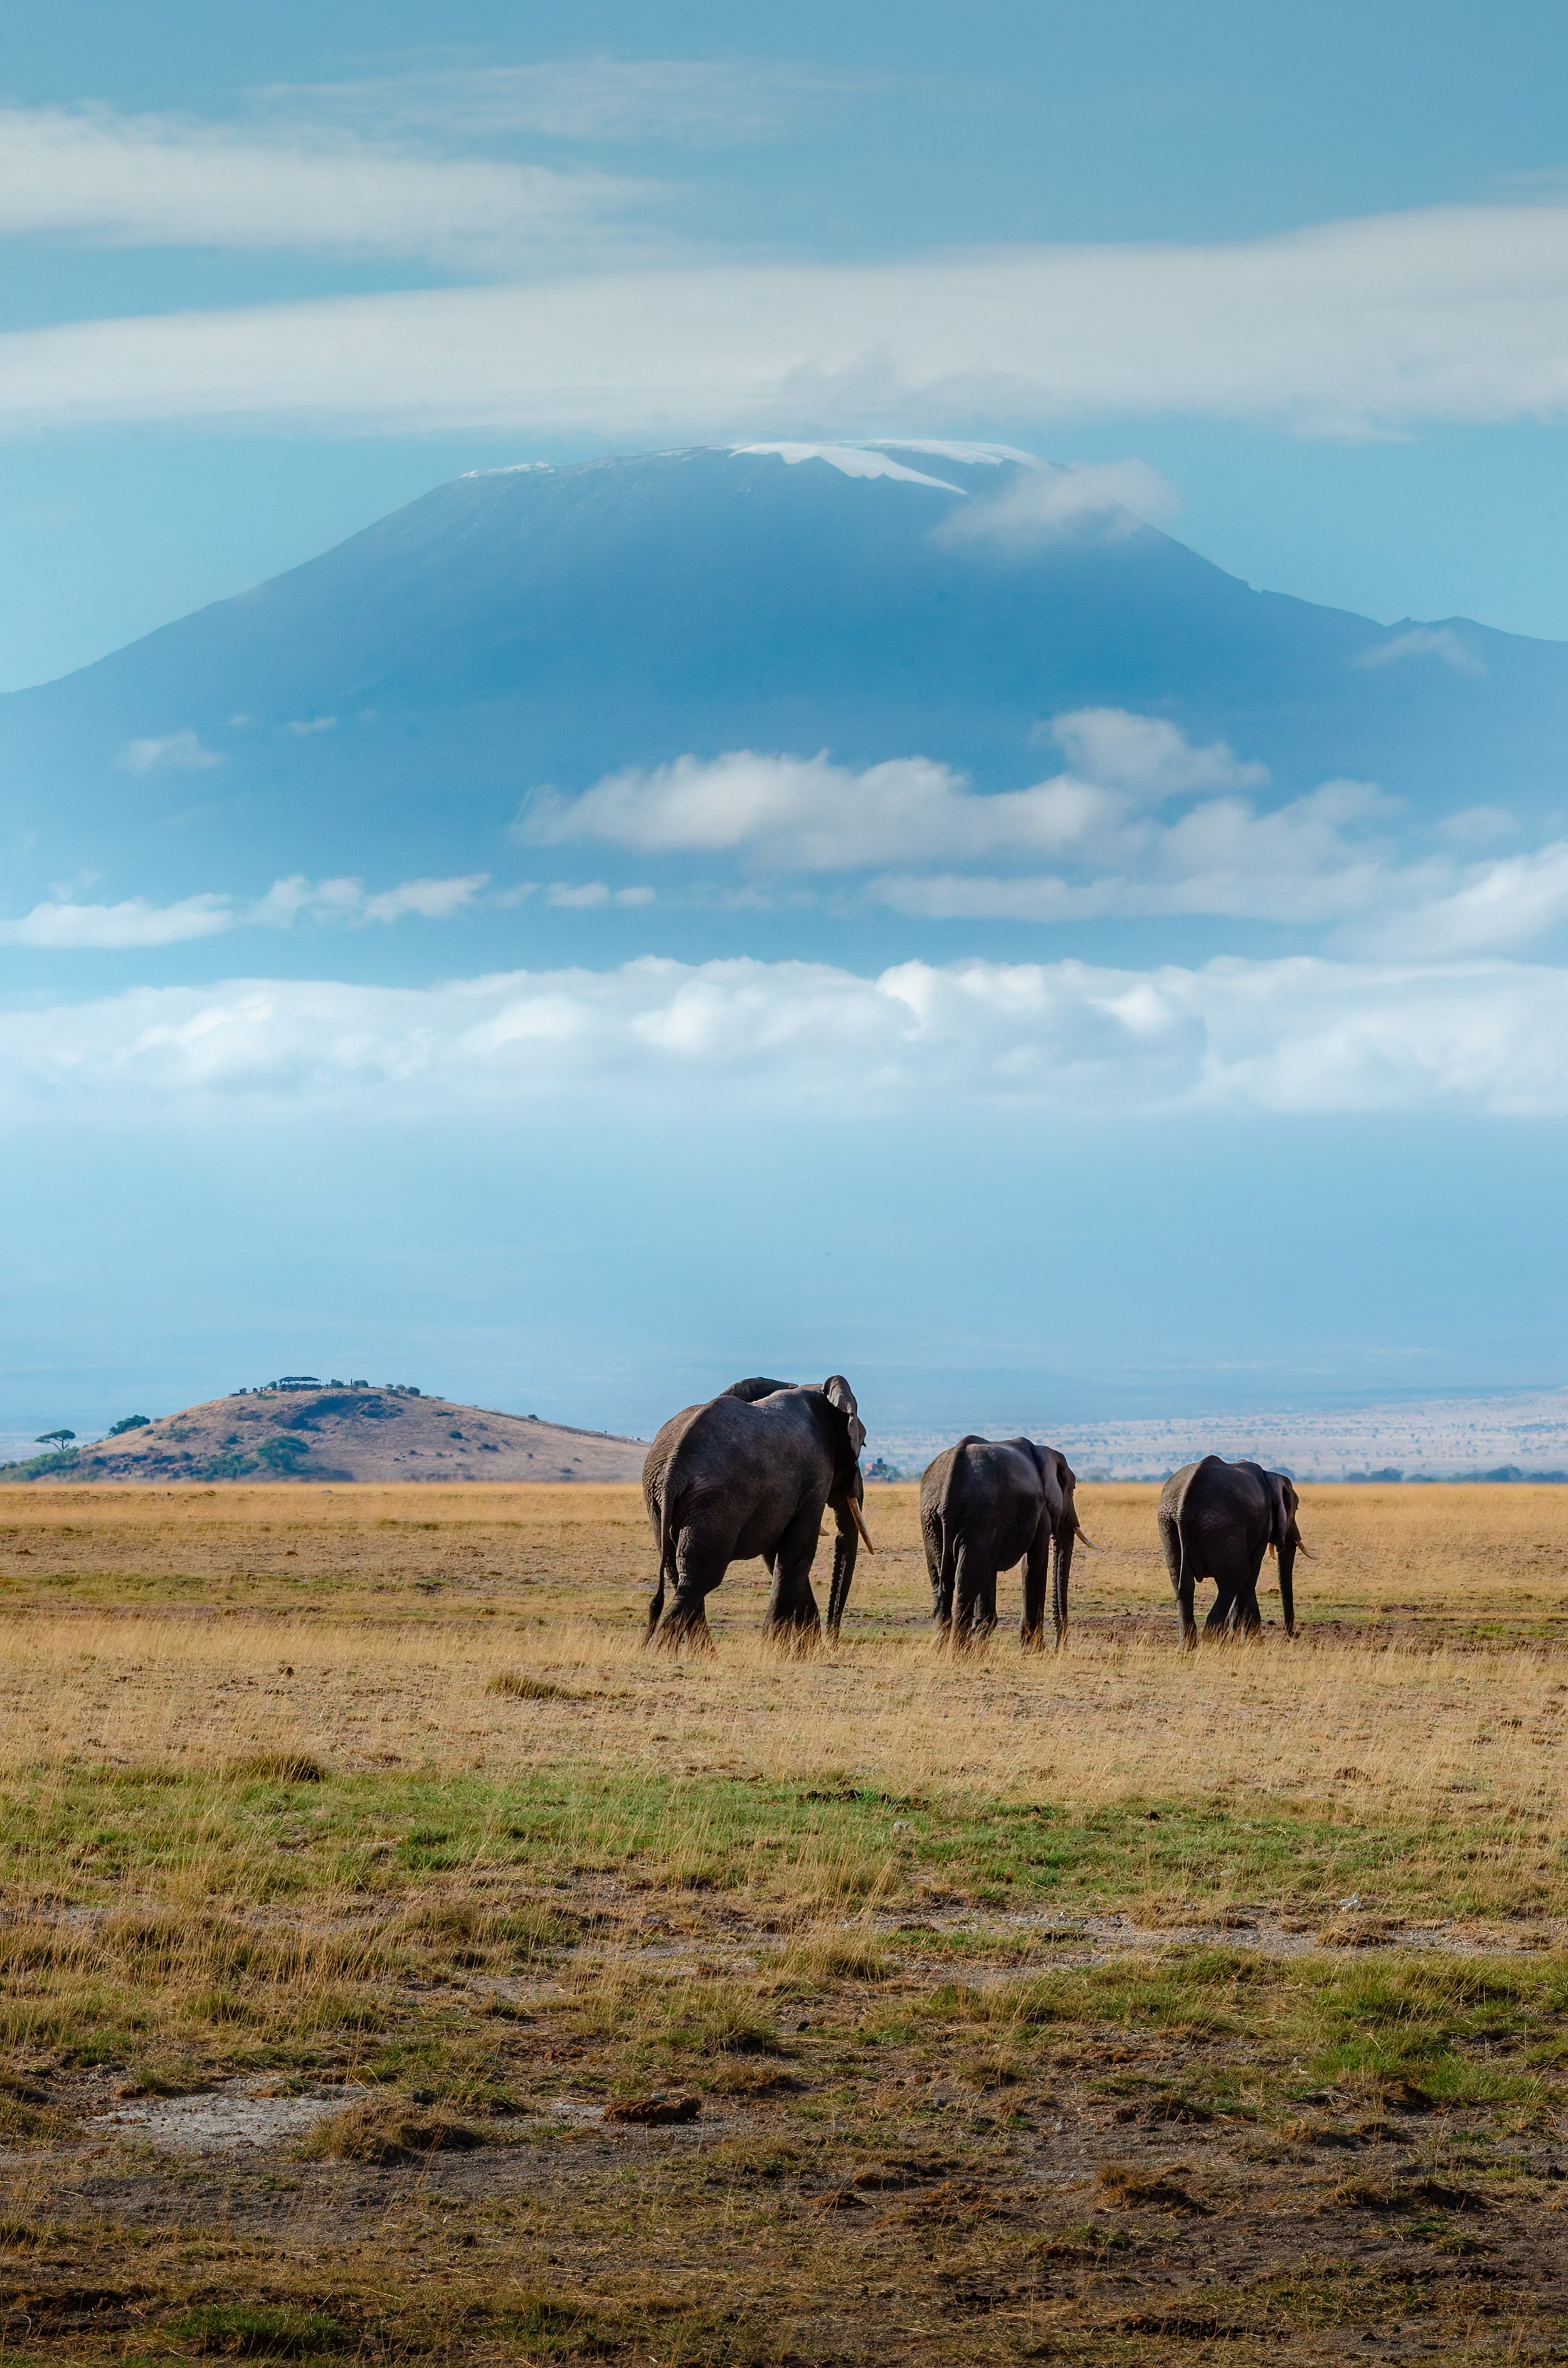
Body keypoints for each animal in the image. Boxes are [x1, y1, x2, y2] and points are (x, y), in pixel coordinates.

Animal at [642, 1375, 874, 1649]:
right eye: (862, 1443)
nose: (832, 1642)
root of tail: (672, 1471)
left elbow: (776, 1555)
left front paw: (802, 1649)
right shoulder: (816, 1474)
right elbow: (797, 1554)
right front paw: (775, 1647)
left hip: (657, 1501)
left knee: (677, 1572)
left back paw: (698, 1654)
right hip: (718, 1502)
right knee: (698, 1577)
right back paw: (663, 1652)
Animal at [919, 1435, 1087, 1648]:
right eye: (1073, 1488)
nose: (1058, 1647)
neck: (1045, 1452)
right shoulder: (1041, 1510)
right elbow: (1035, 1564)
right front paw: (1033, 1650)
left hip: (931, 1520)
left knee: (941, 1579)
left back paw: (942, 1648)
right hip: (979, 1517)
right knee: (967, 1580)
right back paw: (959, 1651)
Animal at [1157, 1455, 1311, 1648]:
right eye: (1296, 1508)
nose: (1296, 1634)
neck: (1270, 1476)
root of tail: (1183, 1508)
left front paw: (1253, 1640)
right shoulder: (1262, 1527)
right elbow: (1251, 1574)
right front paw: (1249, 1641)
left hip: (1168, 1525)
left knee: (1182, 1583)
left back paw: (1187, 1647)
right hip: (1223, 1526)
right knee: (1235, 1579)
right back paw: (1215, 1641)